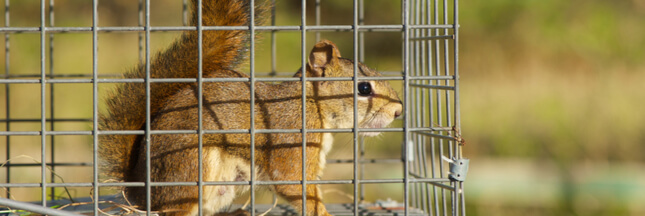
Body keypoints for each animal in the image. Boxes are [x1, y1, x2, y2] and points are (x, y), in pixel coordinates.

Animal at [99, 0, 402, 215]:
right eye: (364, 88)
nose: (399, 111)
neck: (312, 106)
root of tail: (139, 191)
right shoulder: (290, 146)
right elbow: (296, 187)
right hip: (190, 168)